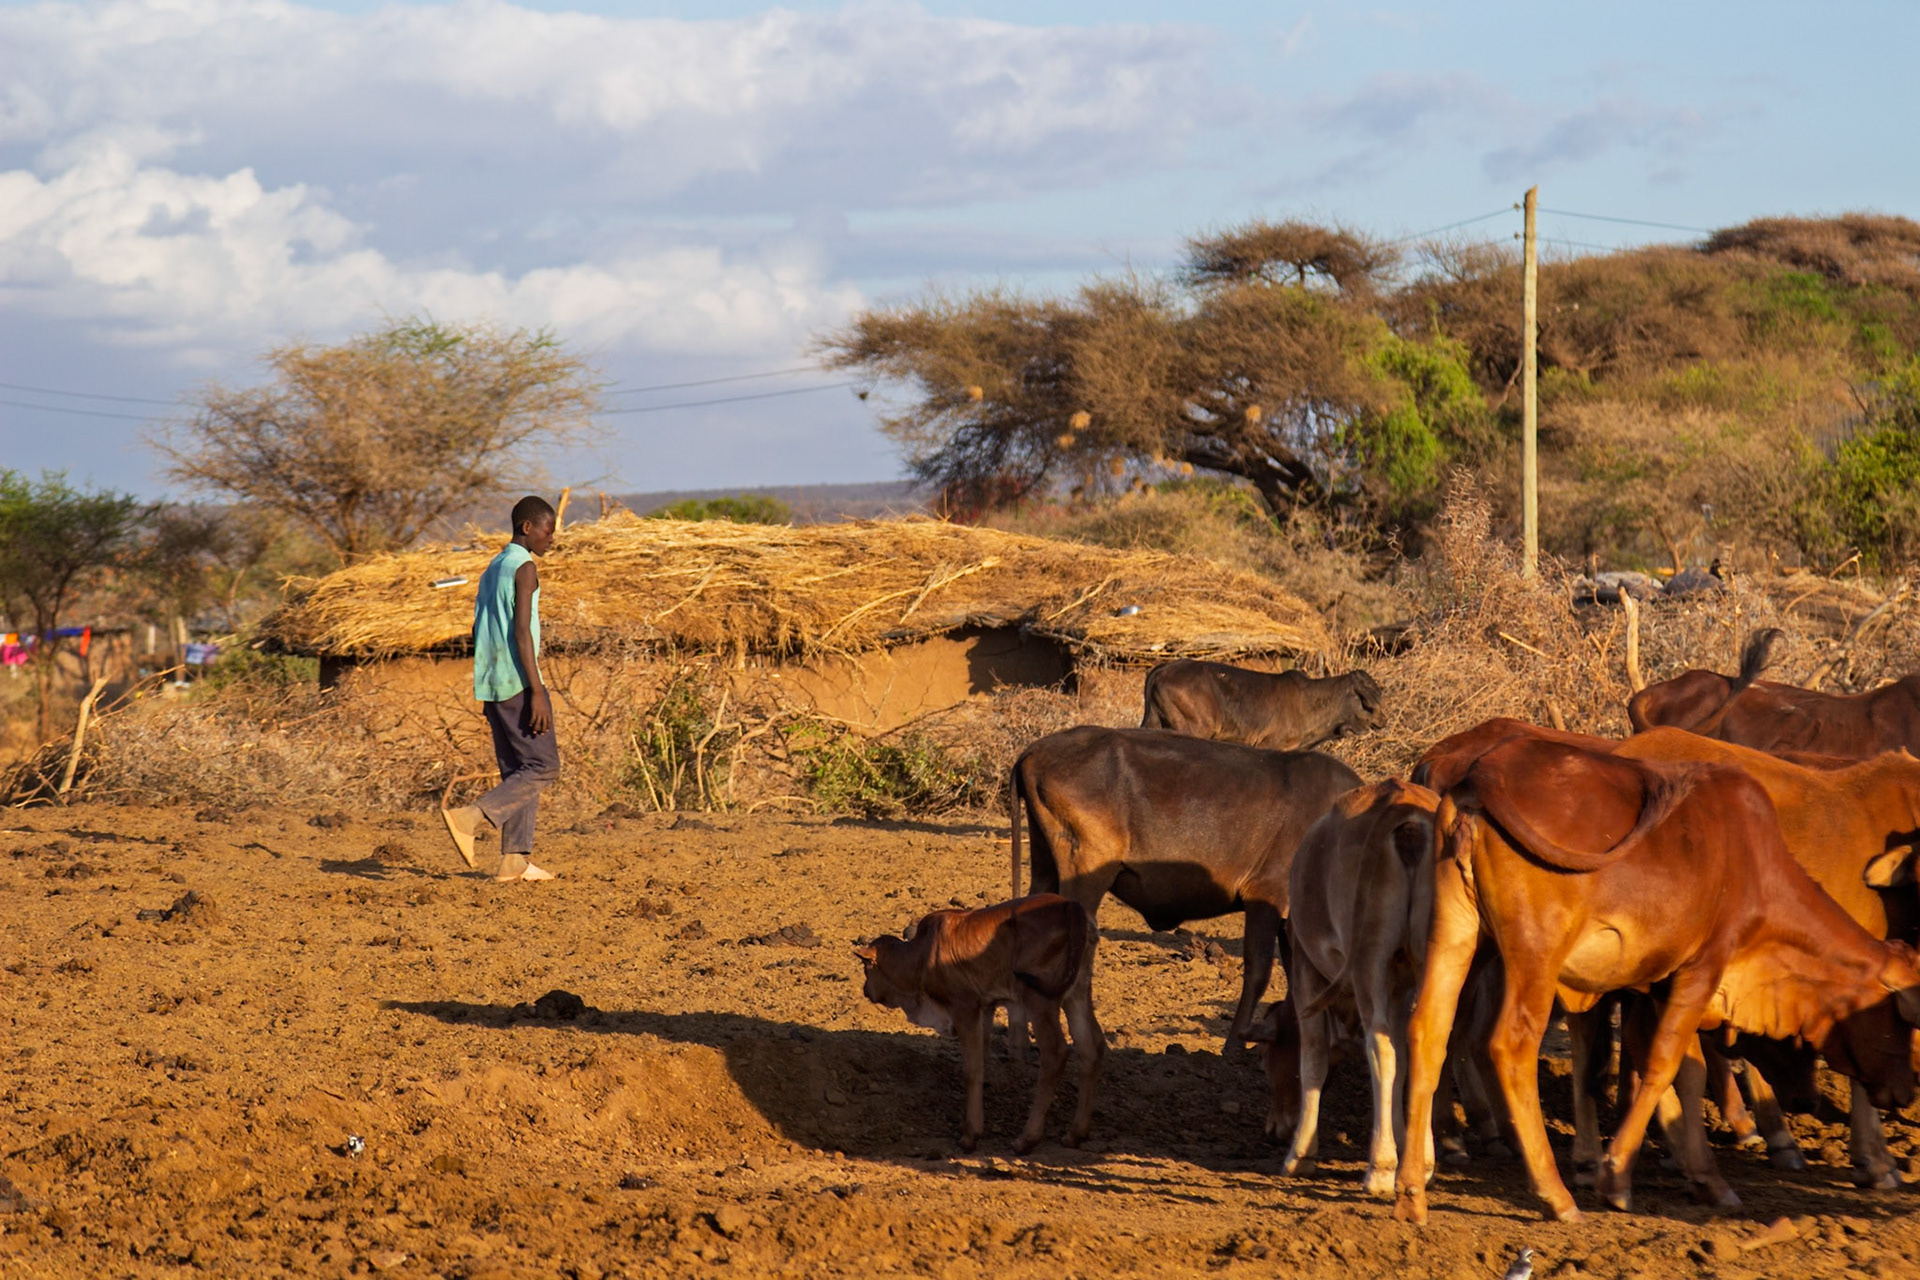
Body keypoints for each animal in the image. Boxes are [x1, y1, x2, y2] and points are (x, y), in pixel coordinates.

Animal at [855, 894, 1102, 1154]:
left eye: (866, 969)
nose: (865, 990)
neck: (922, 956)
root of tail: (1069, 905)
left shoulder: (965, 1008)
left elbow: (971, 1070)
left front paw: (970, 1135)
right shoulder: (985, 1008)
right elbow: (982, 1061)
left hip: (1039, 999)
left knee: (1055, 1053)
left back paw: (1027, 1138)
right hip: (1077, 993)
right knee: (1091, 1047)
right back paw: (1075, 1134)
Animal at [1009, 726, 1361, 1051]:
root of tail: (1035, 750)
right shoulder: (1266, 896)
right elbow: (1260, 970)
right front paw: (1234, 1046)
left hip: (1045, 867)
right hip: (1085, 871)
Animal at [1392, 737, 1920, 1224]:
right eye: (1901, 1020)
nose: (1906, 1094)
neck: (1754, 864)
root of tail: (1486, 771)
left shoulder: (1660, 986)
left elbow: (1687, 1072)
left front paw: (1707, 1178)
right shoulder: (1701, 968)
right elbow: (1663, 1065)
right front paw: (1615, 1176)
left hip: (1459, 937)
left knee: (1428, 1031)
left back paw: (1411, 1190)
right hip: (1533, 957)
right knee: (1509, 1045)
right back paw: (1555, 1193)